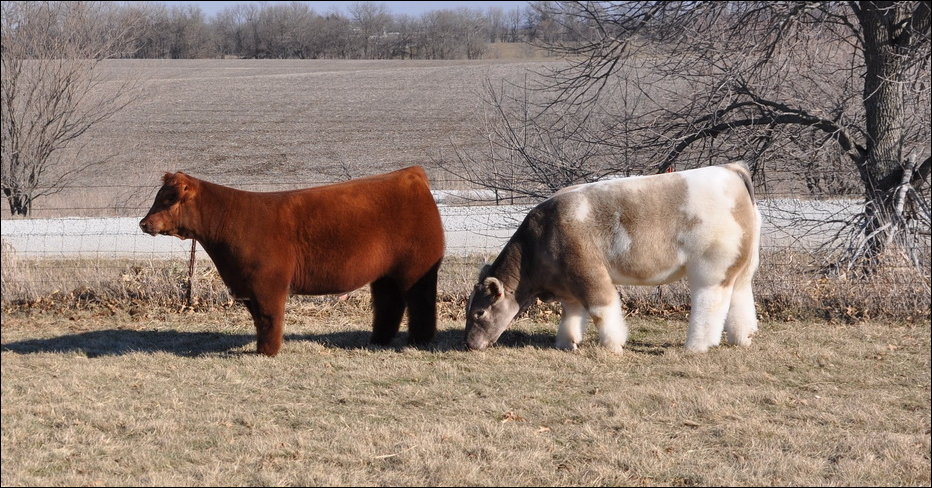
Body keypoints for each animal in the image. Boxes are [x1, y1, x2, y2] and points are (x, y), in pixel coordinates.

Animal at [140, 166, 445, 356]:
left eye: (168, 199)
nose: (143, 223)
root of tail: (412, 175)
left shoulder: (268, 283)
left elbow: (270, 317)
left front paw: (268, 352)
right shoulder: (248, 287)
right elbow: (259, 319)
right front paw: (262, 349)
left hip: (418, 267)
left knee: (420, 302)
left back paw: (419, 340)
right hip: (385, 274)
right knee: (389, 303)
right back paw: (379, 339)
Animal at [464, 162, 761, 353]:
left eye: (479, 312)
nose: (468, 343)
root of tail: (729, 169)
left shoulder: (589, 273)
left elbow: (602, 310)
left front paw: (612, 345)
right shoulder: (567, 285)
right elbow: (571, 314)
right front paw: (567, 342)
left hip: (710, 268)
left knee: (709, 304)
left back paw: (696, 347)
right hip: (743, 267)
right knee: (740, 297)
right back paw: (743, 338)